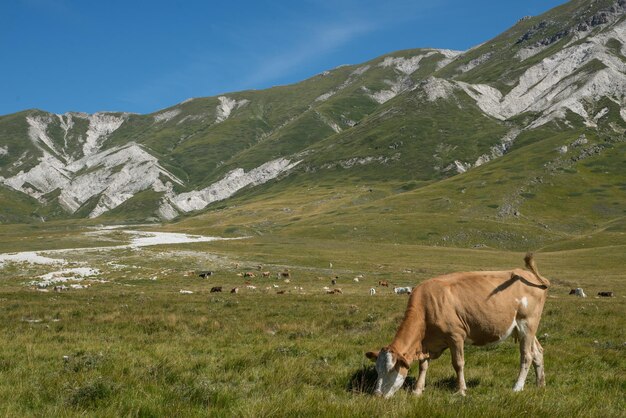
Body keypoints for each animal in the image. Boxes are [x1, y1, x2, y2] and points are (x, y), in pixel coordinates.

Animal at [364, 253, 548, 396]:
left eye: (391, 370)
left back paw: (517, 387)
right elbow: (423, 365)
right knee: (538, 352)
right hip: (524, 328)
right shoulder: (427, 343)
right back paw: (540, 385)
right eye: (377, 370)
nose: (377, 394)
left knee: (527, 355)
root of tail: (531, 276)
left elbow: (458, 363)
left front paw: (461, 390)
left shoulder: (456, 335)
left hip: (527, 323)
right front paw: (417, 390)